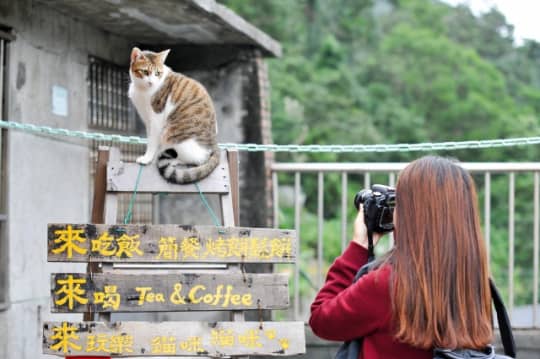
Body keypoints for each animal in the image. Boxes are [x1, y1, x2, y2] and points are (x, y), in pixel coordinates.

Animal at [128, 46, 219, 184]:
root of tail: (215, 145)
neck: (142, 90)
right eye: (145, 72)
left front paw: (147, 158)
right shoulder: (147, 120)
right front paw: (150, 156)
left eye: (157, 73)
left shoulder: (157, 117)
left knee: (196, 159)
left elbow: (152, 141)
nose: (151, 82)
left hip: (174, 136)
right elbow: (150, 138)